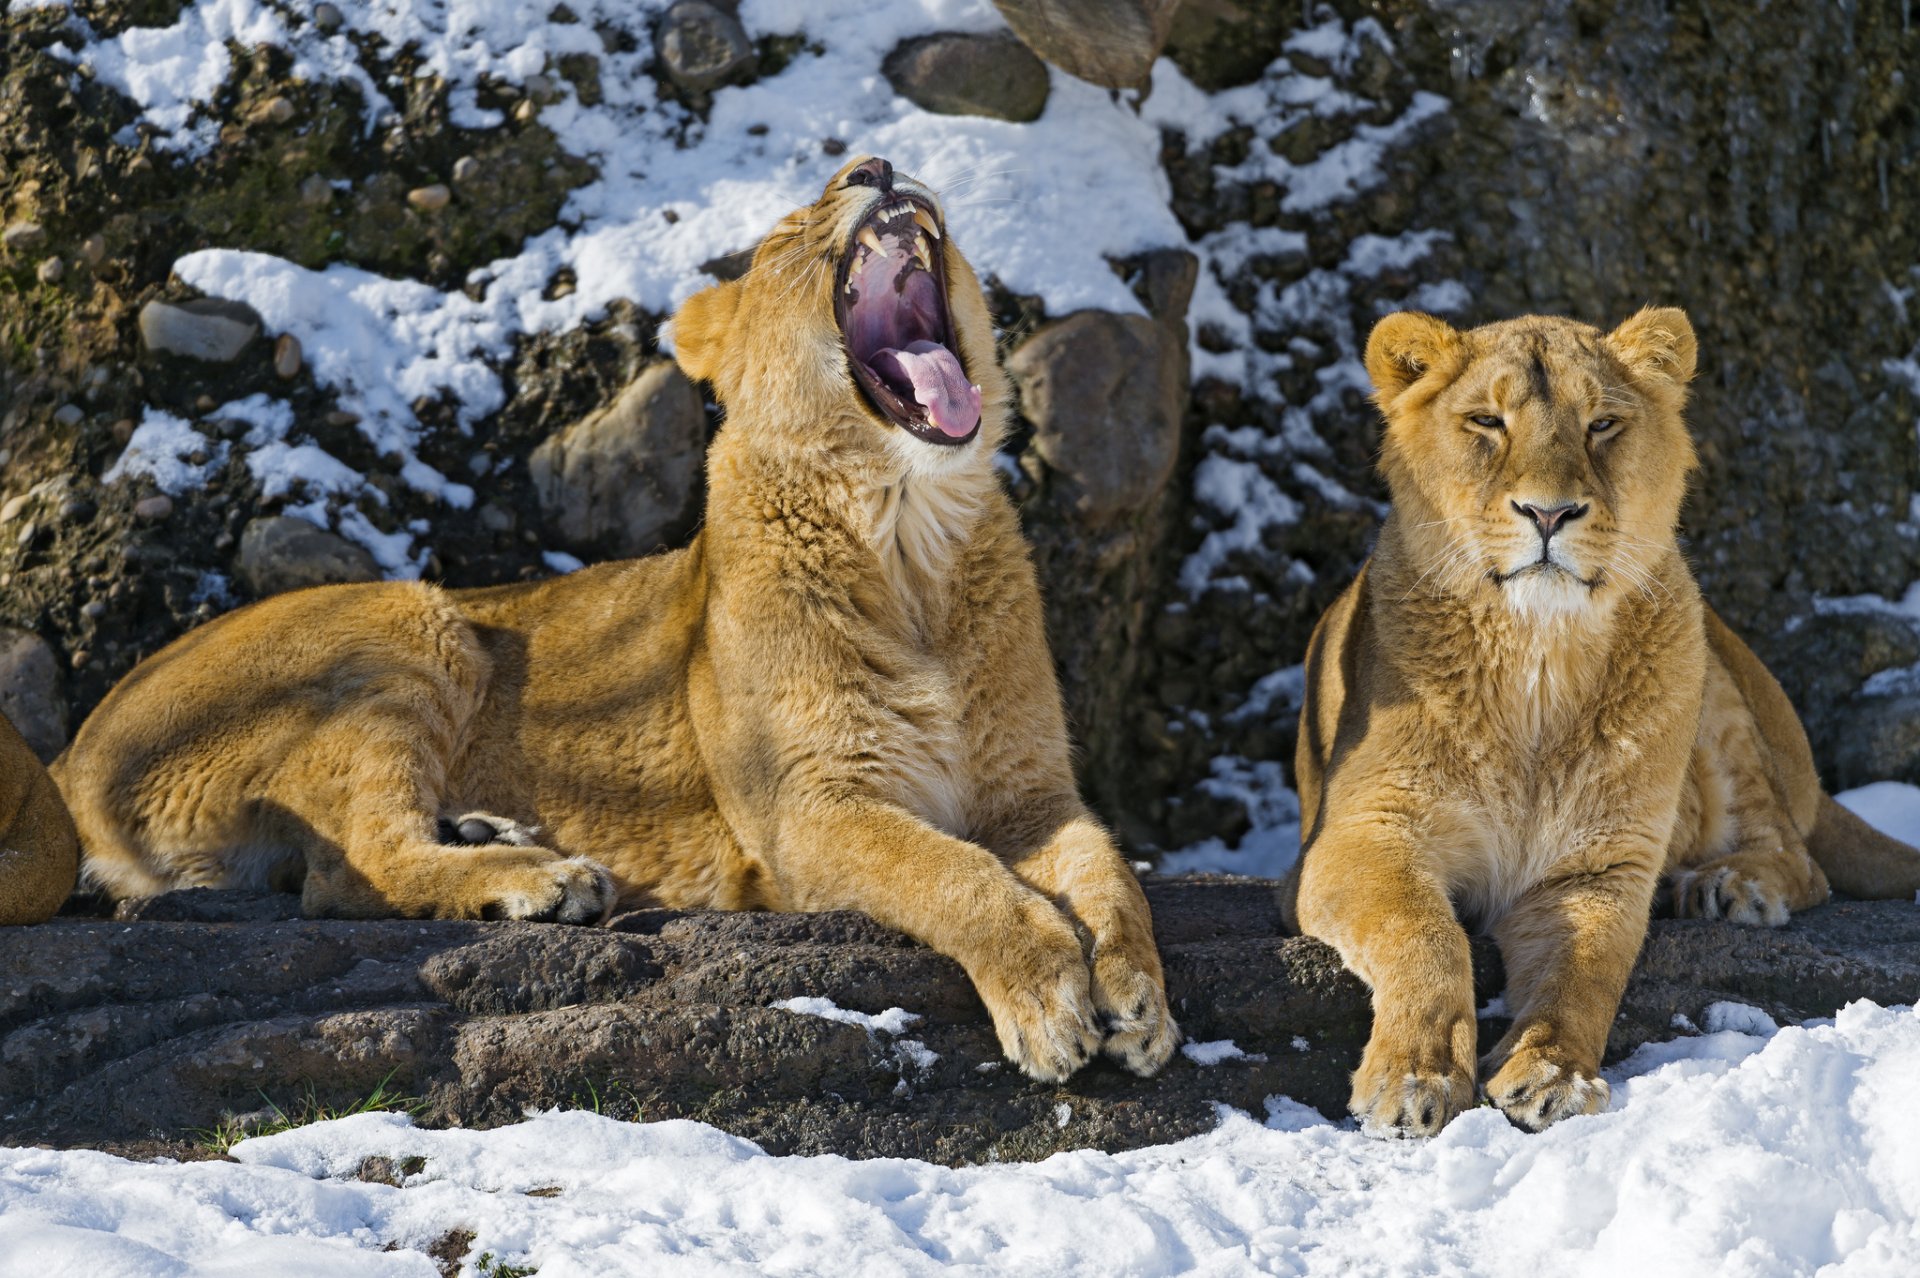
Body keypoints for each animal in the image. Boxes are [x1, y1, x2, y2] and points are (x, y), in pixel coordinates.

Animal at [43, 157, 1178, 1082]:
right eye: (786, 233)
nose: (877, 165)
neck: (911, 540)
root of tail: (69, 760)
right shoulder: (803, 814)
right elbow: (951, 874)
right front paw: (1047, 996)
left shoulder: (1032, 793)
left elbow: (1111, 873)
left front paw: (1136, 1001)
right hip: (412, 619)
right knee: (347, 869)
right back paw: (545, 884)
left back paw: (493, 832)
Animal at [1280, 307, 1920, 1137]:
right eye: (1487, 421)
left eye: (1602, 424)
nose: (1548, 513)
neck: (1537, 660)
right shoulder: (1358, 837)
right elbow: (1424, 934)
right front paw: (1415, 1076)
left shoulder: (1599, 866)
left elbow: (1584, 972)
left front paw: (1552, 1074)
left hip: (1713, 677)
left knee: (1800, 857)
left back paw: (1729, 887)